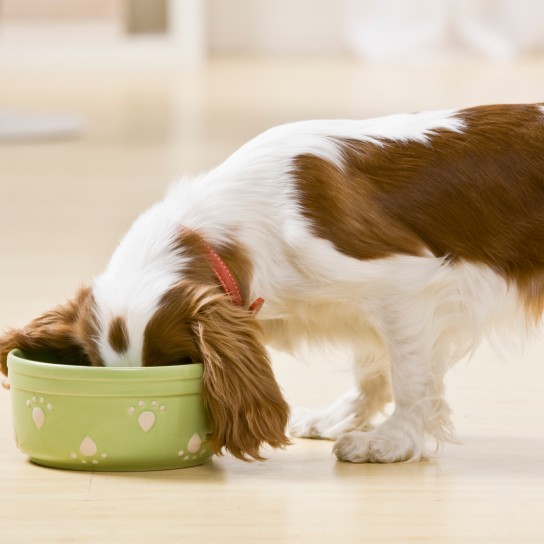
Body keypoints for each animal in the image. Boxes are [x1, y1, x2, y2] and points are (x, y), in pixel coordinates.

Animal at [1, 103, 544, 464]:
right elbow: (373, 367)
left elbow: (410, 377)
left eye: (179, 364)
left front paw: (390, 441)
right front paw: (340, 417)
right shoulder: (370, 306)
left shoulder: (405, 286)